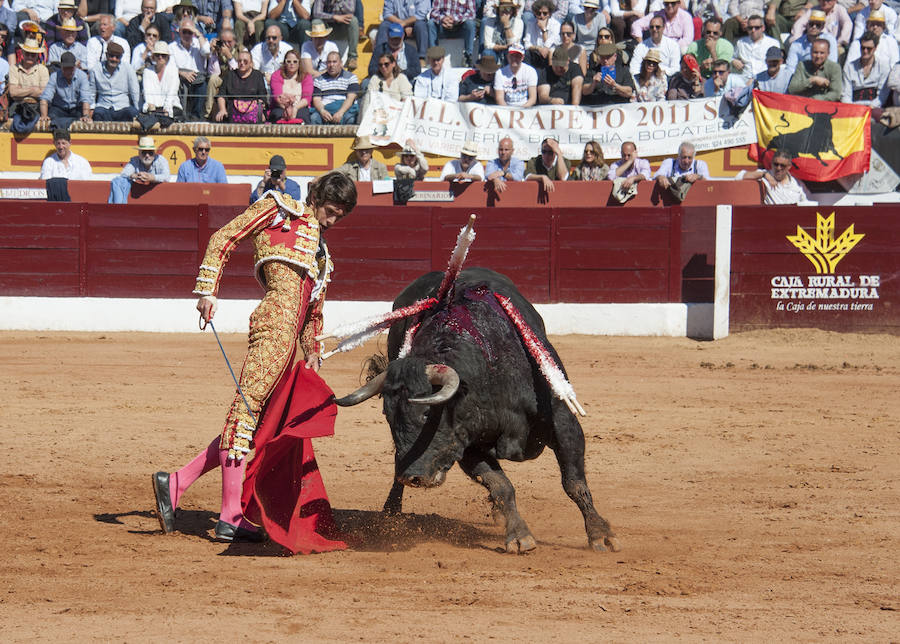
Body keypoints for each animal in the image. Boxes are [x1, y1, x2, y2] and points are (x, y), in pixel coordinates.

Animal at [334, 268, 624, 552]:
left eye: (427, 413)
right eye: (389, 417)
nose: (413, 478)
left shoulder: (564, 423)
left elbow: (574, 482)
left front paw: (600, 535)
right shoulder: (466, 445)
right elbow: (500, 485)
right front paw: (519, 536)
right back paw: (391, 512)